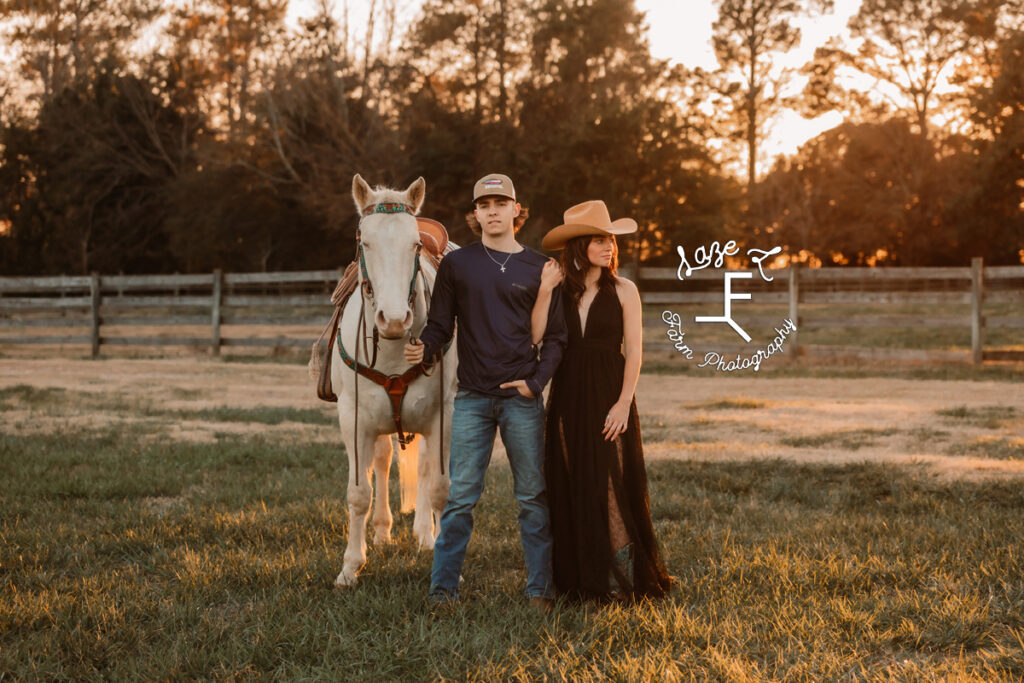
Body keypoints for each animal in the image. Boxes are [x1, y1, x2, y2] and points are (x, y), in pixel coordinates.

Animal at [331, 174, 456, 585]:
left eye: (414, 244)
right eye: (364, 243)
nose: (395, 319)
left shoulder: (442, 417)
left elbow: (439, 488)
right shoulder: (353, 418)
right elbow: (359, 492)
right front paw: (350, 568)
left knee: (423, 469)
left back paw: (424, 535)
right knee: (383, 462)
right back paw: (383, 532)